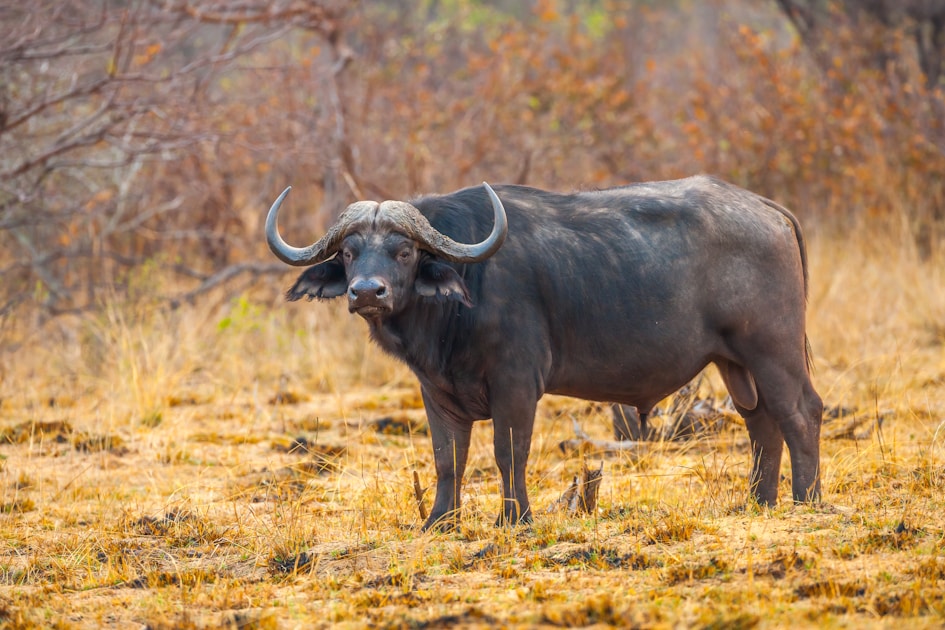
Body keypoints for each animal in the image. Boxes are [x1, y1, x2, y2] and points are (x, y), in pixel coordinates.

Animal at [266, 176, 822, 530]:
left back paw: (806, 501)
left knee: (801, 413)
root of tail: (768, 210)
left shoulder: (516, 384)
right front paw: (439, 522)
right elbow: (448, 458)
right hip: (735, 363)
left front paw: (514, 518)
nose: (366, 292)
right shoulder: (437, 392)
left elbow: (509, 451)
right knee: (761, 422)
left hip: (772, 350)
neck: (466, 293)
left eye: (403, 251)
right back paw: (759, 503)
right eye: (349, 252)